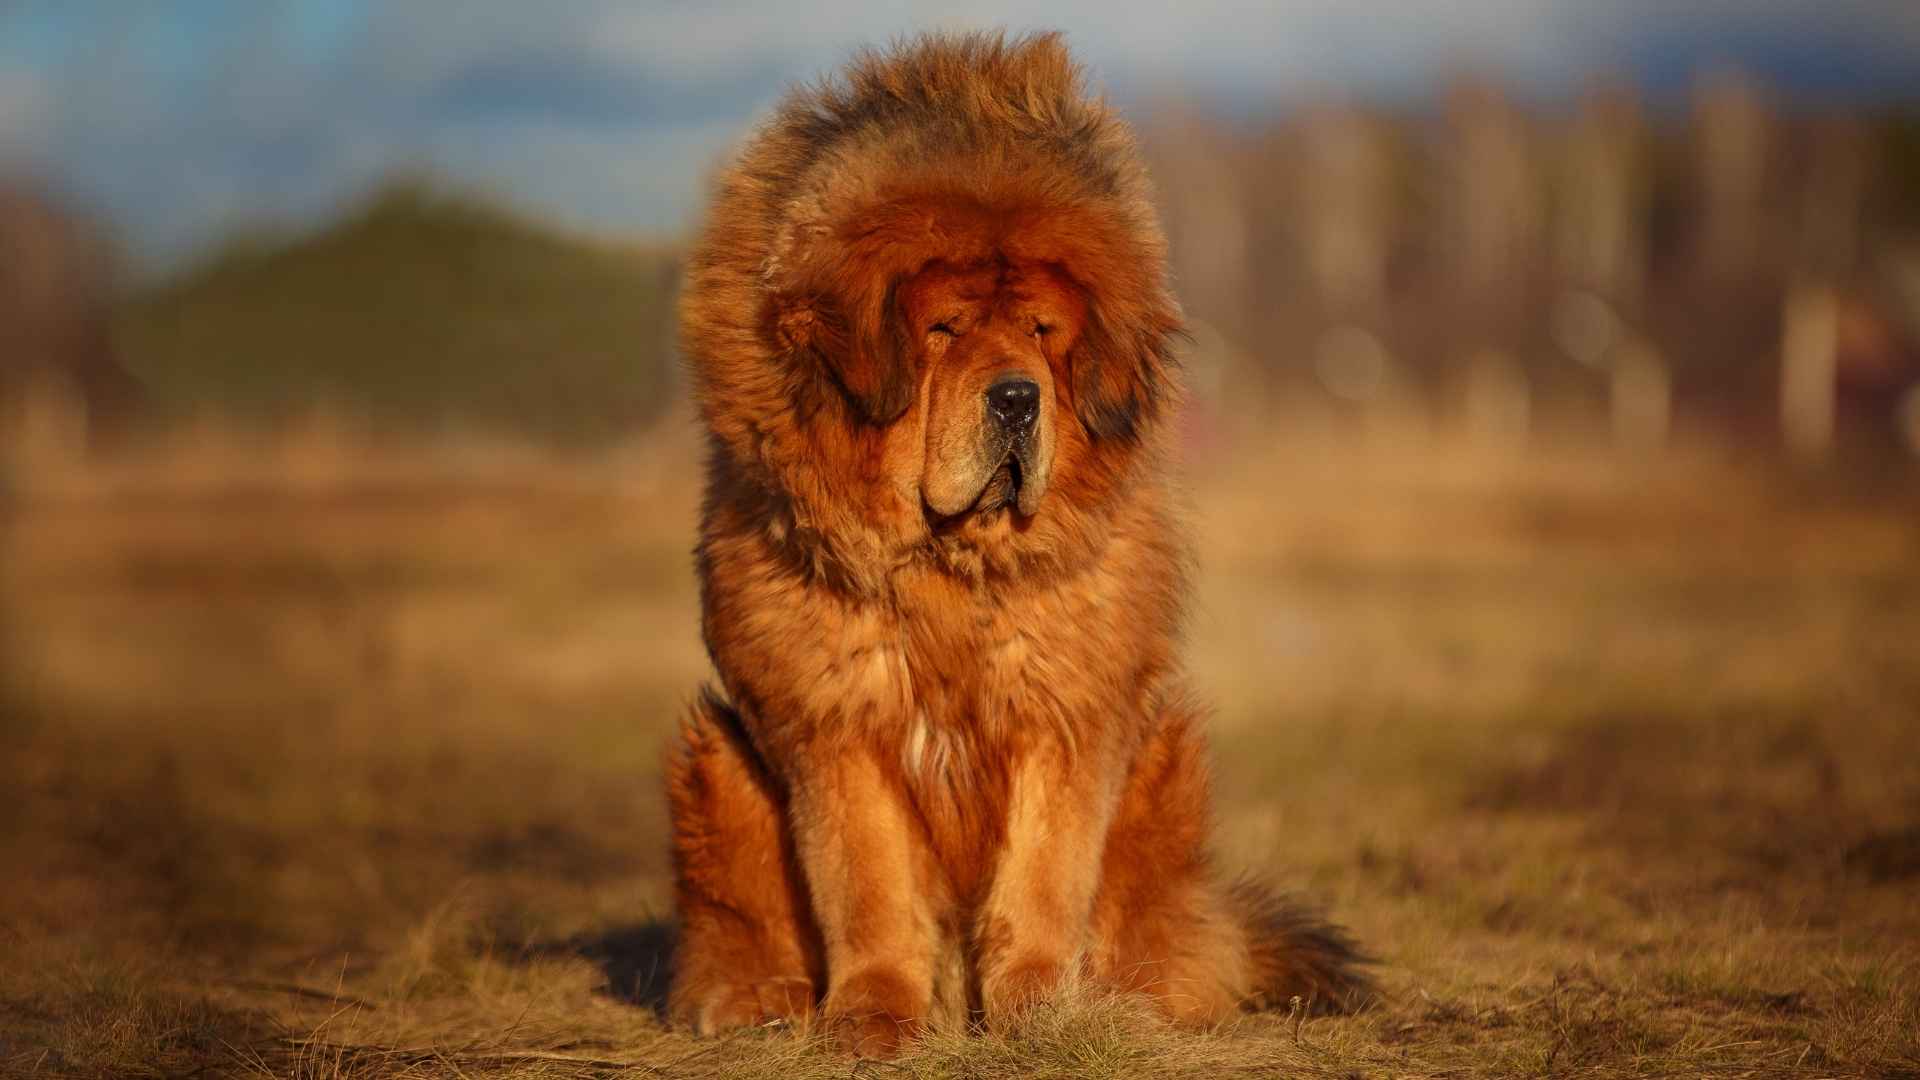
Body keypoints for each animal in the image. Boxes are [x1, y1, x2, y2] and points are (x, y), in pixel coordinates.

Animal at [668, 31, 1374, 1053]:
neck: (949, 568)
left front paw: (1042, 1009)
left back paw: (1133, 995)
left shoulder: (1067, 716)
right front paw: (873, 1016)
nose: (1015, 397)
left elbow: (1043, 880)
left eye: (1042, 332)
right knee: (736, 916)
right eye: (944, 329)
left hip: (1167, 761)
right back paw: (755, 998)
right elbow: (867, 890)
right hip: (715, 757)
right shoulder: (836, 725)